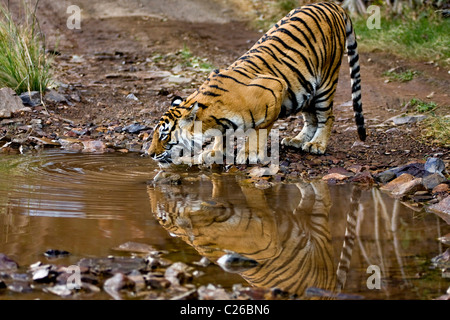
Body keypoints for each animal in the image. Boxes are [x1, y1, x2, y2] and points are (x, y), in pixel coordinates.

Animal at [148, 2, 366, 166]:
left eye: (164, 136)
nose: (149, 154)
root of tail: (331, 4)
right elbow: (221, 136)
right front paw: (214, 152)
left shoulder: (275, 90)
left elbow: (258, 131)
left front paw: (249, 154)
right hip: (306, 87)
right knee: (310, 117)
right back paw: (297, 140)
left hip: (326, 81)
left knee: (327, 116)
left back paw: (317, 145)